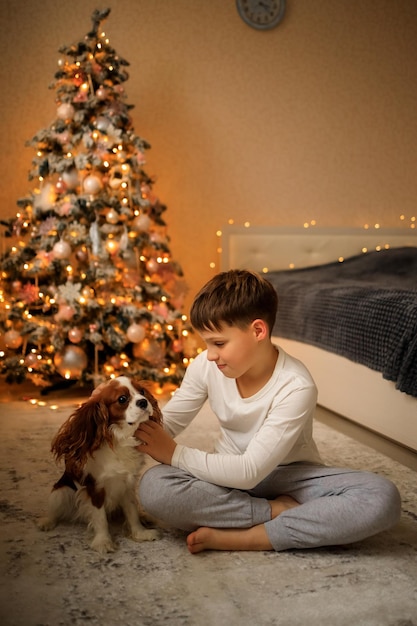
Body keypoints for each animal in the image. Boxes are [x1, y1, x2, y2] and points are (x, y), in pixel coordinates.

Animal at [37, 376, 161, 552]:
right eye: (122, 399)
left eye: (142, 392)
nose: (143, 402)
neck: (119, 439)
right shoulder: (95, 488)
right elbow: (100, 518)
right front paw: (103, 542)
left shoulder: (126, 486)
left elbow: (132, 512)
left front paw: (140, 533)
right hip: (60, 492)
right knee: (55, 510)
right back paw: (47, 521)